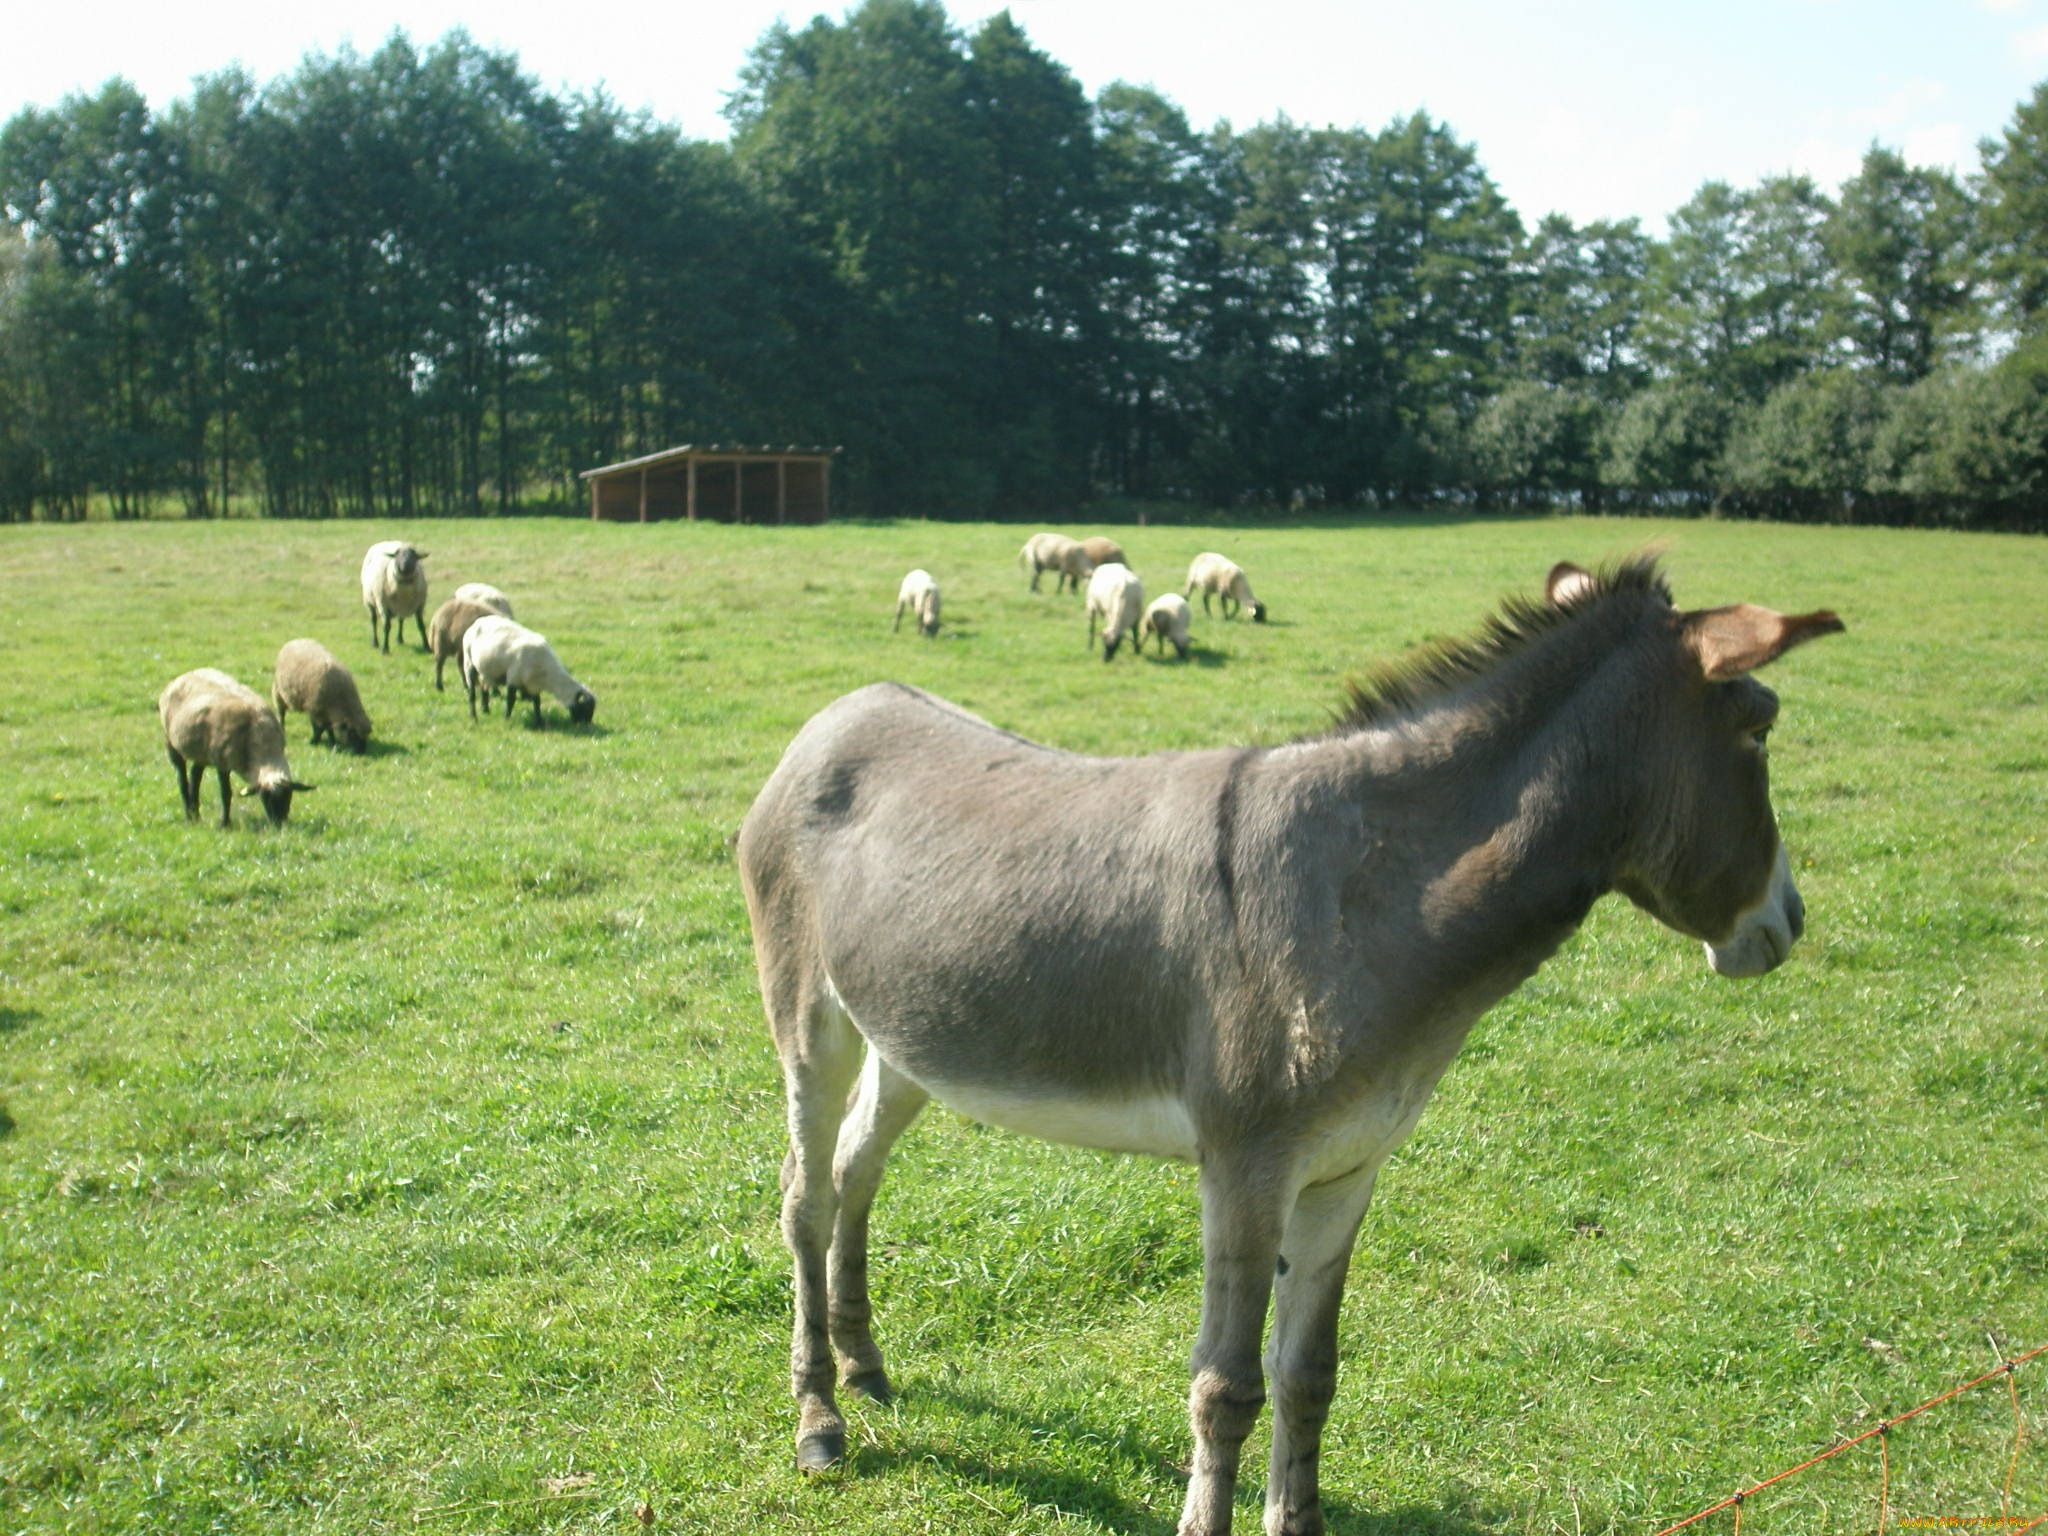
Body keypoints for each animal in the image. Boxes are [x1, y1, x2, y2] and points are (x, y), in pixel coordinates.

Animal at [159, 663, 313, 823]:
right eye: (265, 797)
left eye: (289, 796)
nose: (279, 823)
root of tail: (183, 676)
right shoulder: (222, 763)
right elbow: (226, 794)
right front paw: (224, 823)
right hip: (171, 742)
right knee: (182, 778)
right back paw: (189, 815)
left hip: (202, 752)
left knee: (195, 776)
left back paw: (196, 814)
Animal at [460, 618, 598, 729]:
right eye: (586, 708)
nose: (586, 726)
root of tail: (477, 622)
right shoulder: (513, 678)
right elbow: (511, 701)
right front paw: (506, 719)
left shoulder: (533, 686)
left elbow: (537, 703)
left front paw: (539, 722)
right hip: (469, 663)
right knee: (472, 693)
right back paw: (473, 716)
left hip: (486, 672)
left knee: (484, 689)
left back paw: (486, 711)